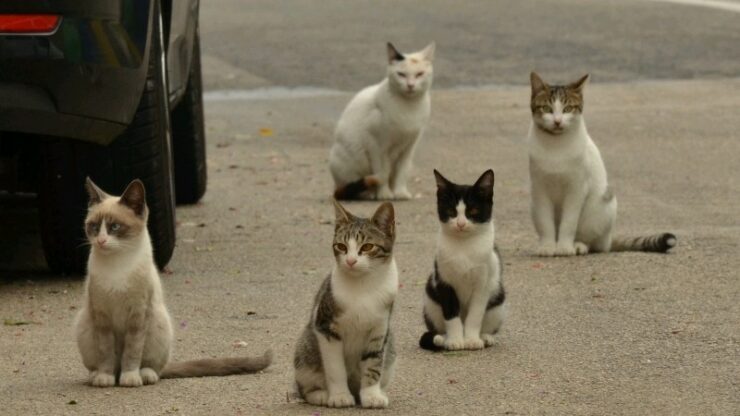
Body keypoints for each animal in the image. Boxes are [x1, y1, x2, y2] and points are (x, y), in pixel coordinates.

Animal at [74, 178, 272, 386]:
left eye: (115, 227)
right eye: (94, 226)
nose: (101, 241)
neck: (117, 265)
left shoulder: (138, 315)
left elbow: (132, 352)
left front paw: (130, 378)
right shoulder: (101, 316)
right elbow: (105, 353)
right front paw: (105, 377)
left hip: (158, 323)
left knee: (154, 367)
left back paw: (144, 375)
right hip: (84, 324)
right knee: (107, 364)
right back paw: (98, 375)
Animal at [294, 200, 398, 408]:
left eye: (367, 246)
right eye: (341, 246)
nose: (350, 261)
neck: (364, 286)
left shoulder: (379, 330)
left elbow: (373, 364)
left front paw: (371, 395)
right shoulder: (326, 328)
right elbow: (335, 368)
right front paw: (340, 396)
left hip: (390, 347)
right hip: (305, 350)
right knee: (304, 388)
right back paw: (320, 394)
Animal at [330, 41, 434, 201]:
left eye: (419, 74)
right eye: (401, 74)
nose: (410, 85)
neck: (409, 107)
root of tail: (335, 187)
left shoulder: (409, 147)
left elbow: (401, 172)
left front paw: (400, 192)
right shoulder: (376, 146)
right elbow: (382, 172)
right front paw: (384, 193)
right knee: (353, 187)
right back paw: (369, 193)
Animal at [420, 170, 506, 352]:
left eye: (473, 211)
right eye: (451, 211)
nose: (460, 224)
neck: (464, 246)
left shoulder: (483, 284)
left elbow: (475, 315)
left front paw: (472, 340)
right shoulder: (444, 280)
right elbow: (451, 314)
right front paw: (455, 340)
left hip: (498, 298)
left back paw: (485, 337)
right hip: (430, 300)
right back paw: (443, 338)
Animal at [528, 72, 676, 256]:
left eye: (567, 109)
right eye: (547, 109)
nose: (557, 121)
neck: (555, 146)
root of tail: (610, 238)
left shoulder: (576, 188)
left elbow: (569, 222)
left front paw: (564, 247)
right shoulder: (539, 189)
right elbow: (545, 222)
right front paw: (548, 246)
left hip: (602, 207)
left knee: (595, 243)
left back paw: (579, 245)